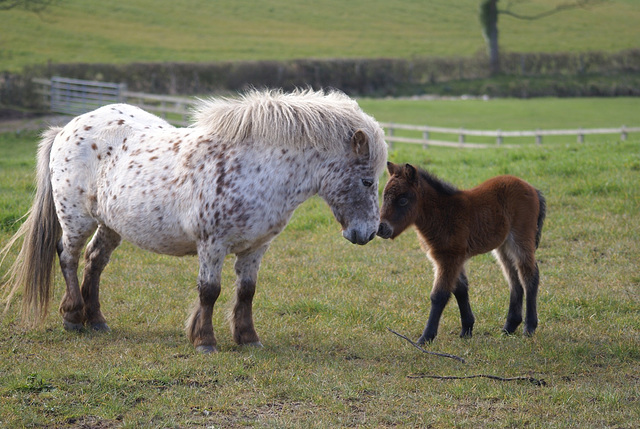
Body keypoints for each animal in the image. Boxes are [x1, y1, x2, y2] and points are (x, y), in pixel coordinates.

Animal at [2, 88, 388, 352]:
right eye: (367, 181)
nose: (369, 233)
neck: (258, 170)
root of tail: (67, 128)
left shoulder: (256, 248)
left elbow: (246, 291)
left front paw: (248, 338)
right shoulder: (212, 244)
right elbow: (209, 291)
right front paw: (204, 340)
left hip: (111, 225)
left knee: (94, 261)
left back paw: (96, 320)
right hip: (76, 218)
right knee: (67, 256)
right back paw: (72, 317)